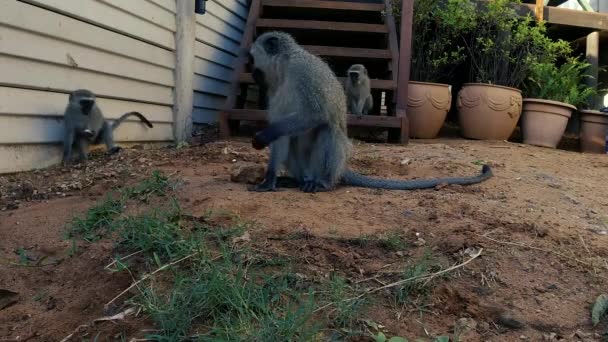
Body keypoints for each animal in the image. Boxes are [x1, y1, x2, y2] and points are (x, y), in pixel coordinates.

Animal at [245, 31, 492, 192]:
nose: (250, 70)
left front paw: (264, 135)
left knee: (328, 129)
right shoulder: (275, 90)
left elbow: (317, 114)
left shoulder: (304, 72)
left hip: (324, 165)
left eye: (252, 57)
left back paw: (322, 182)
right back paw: (295, 180)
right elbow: (281, 134)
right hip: (303, 167)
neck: (284, 68)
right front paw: (269, 179)